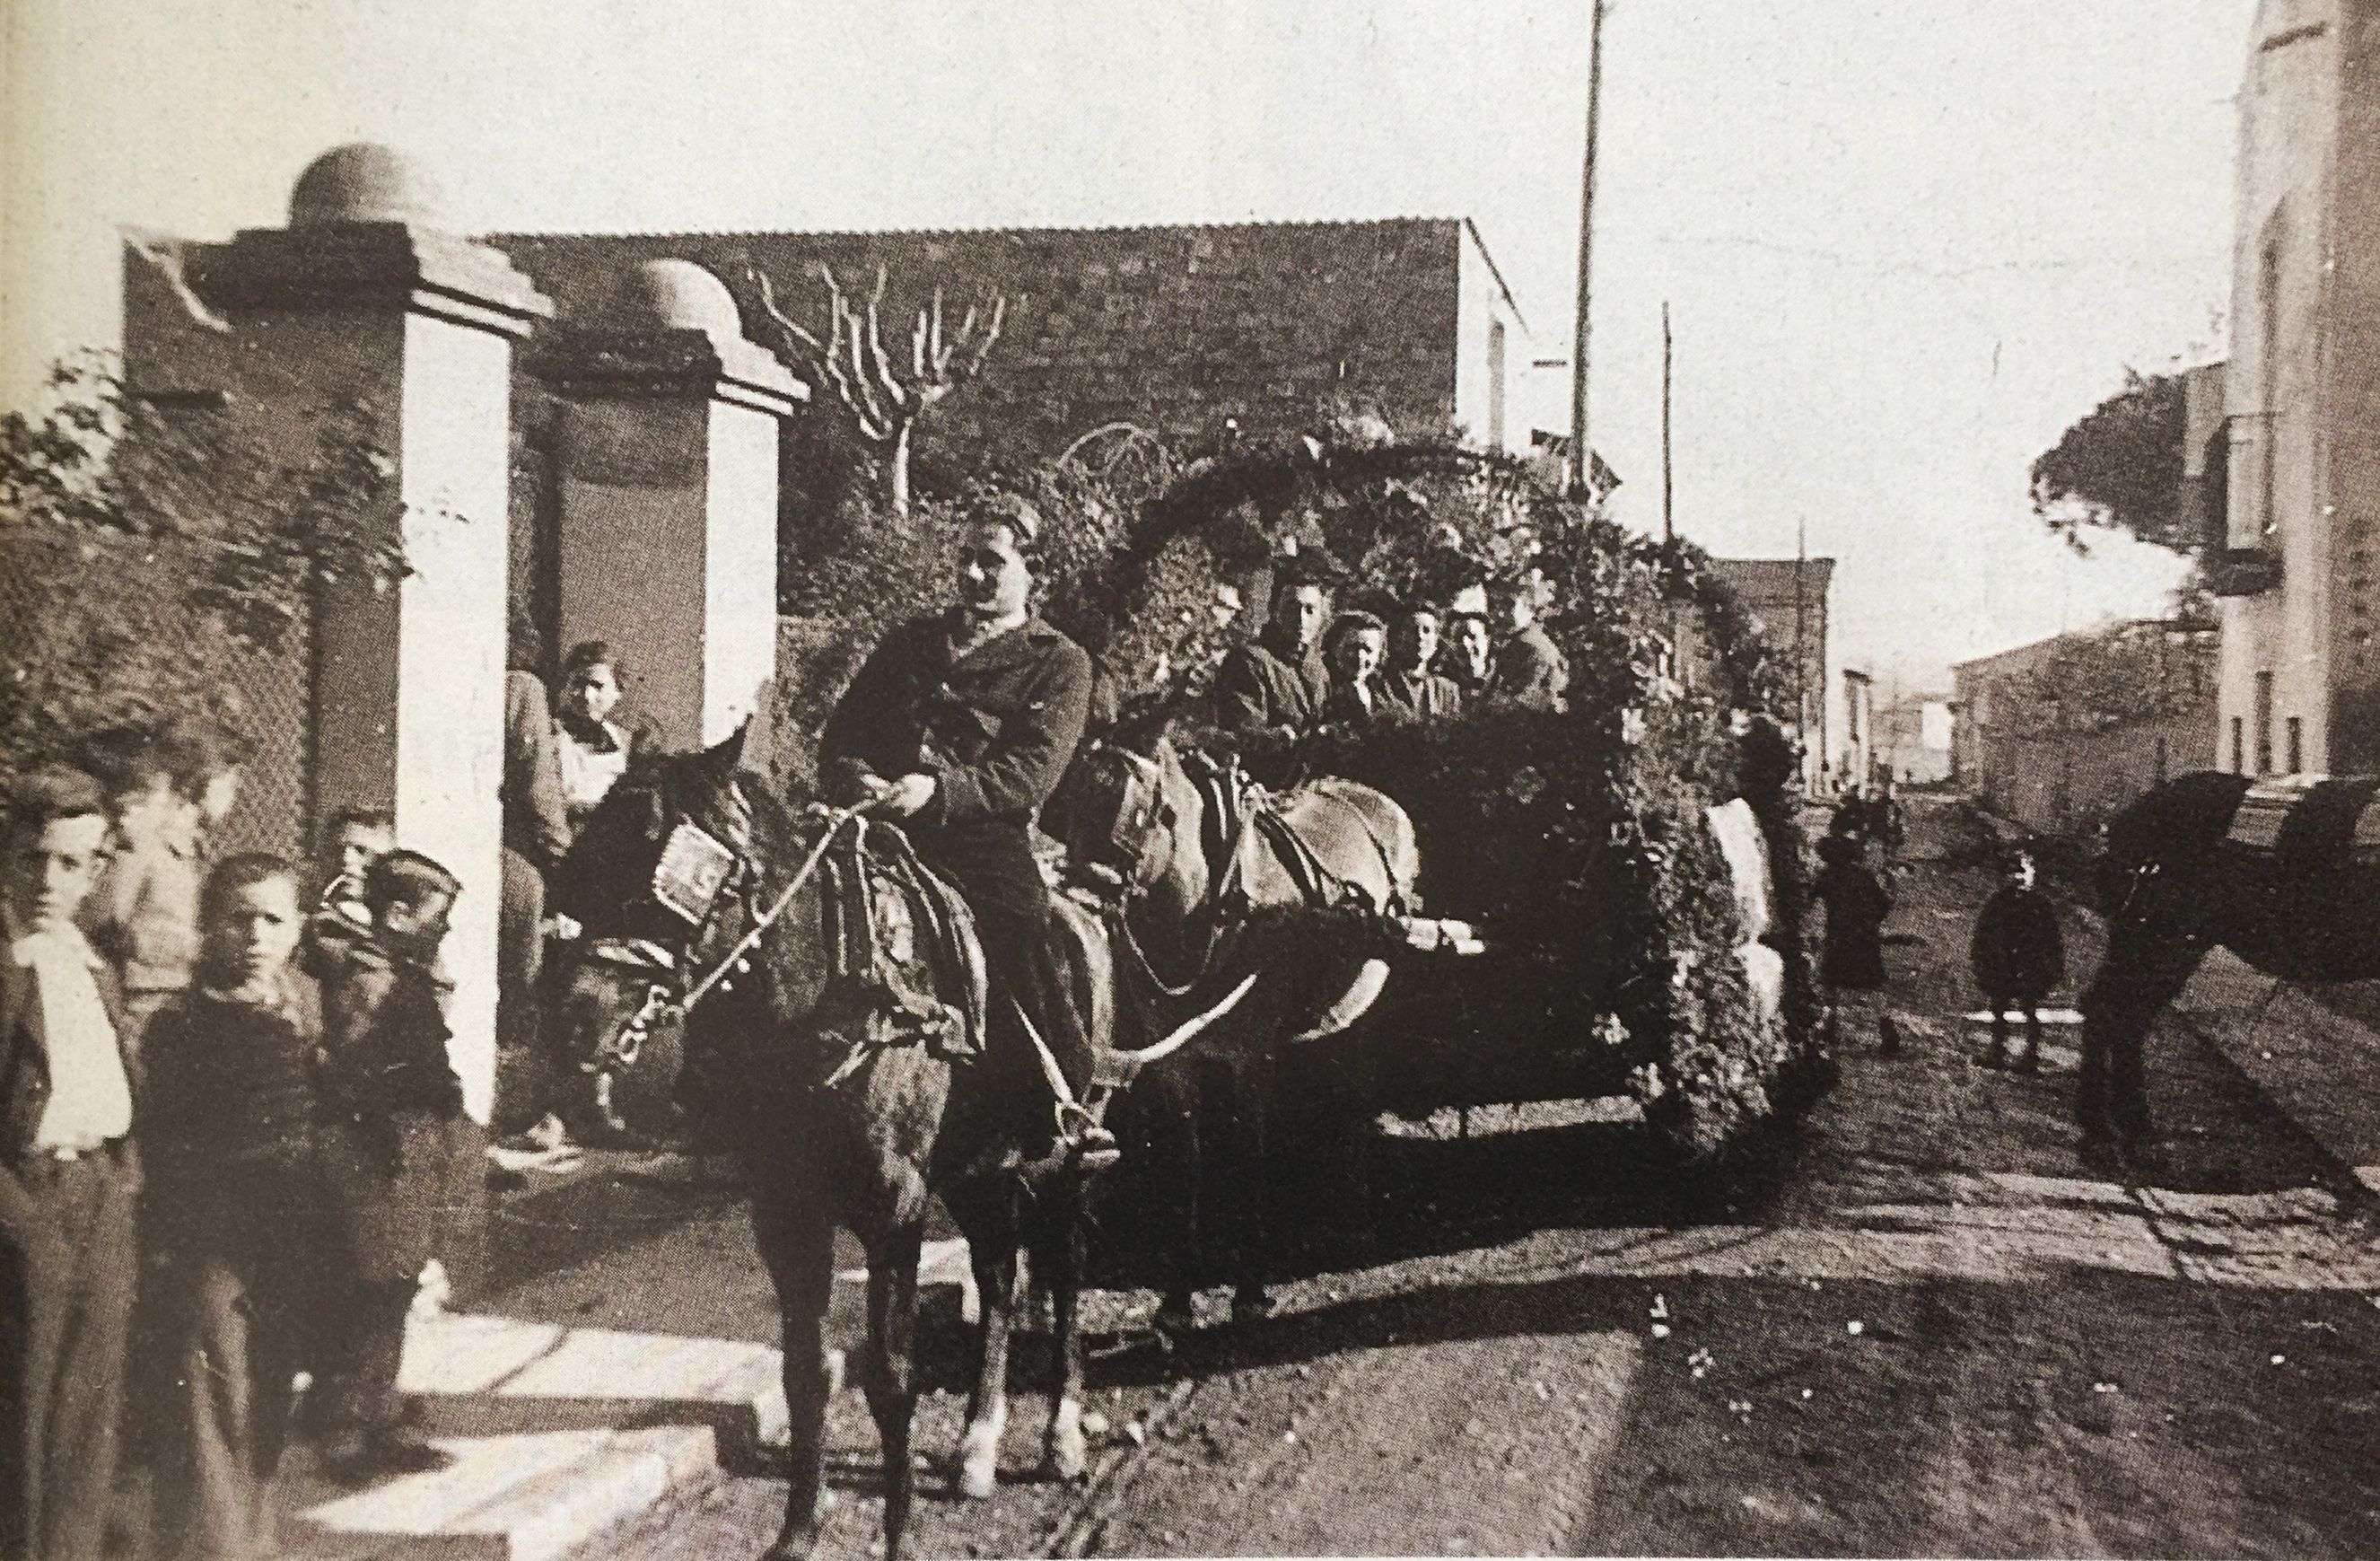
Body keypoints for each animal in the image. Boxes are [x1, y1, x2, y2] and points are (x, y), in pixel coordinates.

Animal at [547, 723, 1114, 1551]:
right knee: (1000, 1274)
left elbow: (892, 1375)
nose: (573, 1022)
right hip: (976, 1170)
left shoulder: (896, 1209)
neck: (834, 999)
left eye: (672, 876)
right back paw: (978, 1439)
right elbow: (806, 1373)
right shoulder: (786, 1212)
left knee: (1065, 1267)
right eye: (586, 862)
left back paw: (1061, 1433)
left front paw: (898, 1533)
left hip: (1065, 1158)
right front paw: (800, 1528)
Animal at [1056, 728, 1418, 1332]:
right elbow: (1186, 1164)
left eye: (1144, 813)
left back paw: (1355, 1214)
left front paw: (1250, 1290)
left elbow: (1250, 1155)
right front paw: (1177, 1299)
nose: (1083, 893)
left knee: (1355, 1096)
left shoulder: (1250, 1059)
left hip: (1368, 1002)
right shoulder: (1174, 1062)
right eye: (1072, 805)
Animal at [2085, 770, 2380, 1152]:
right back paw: (2111, 1125)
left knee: (2117, 1013)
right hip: (2159, 938)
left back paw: (2124, 1123)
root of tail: (2131, 817)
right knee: (2115, 1013)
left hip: (2156, 940)